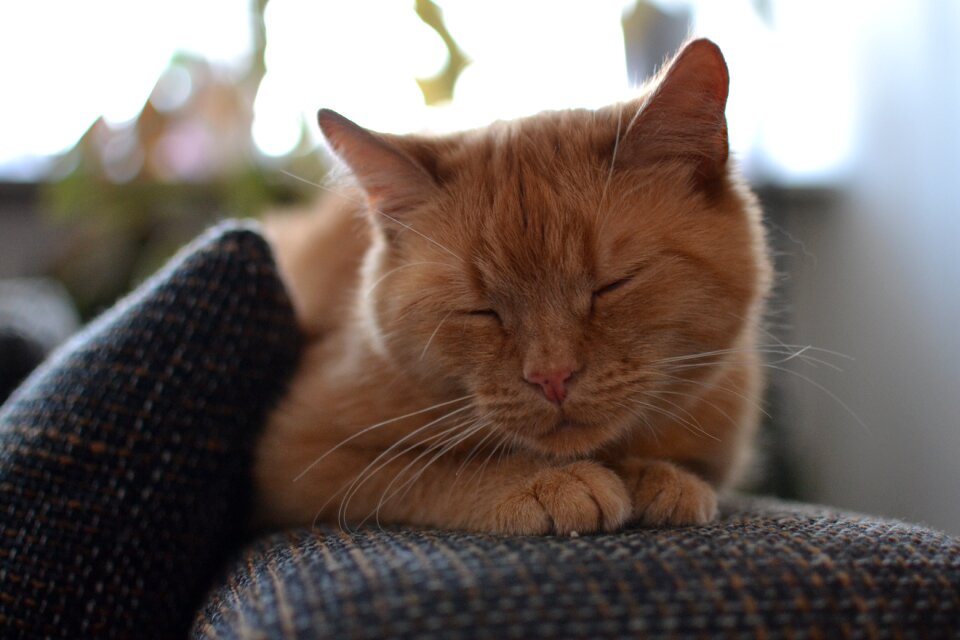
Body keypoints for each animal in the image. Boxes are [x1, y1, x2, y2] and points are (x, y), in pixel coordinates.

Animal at [253, 40, 772, 536]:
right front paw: (545, 481)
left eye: (611, 286)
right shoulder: (296, 459)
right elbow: (435, 469)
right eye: (481, 310)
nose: (553, 378)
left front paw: (656, 477)